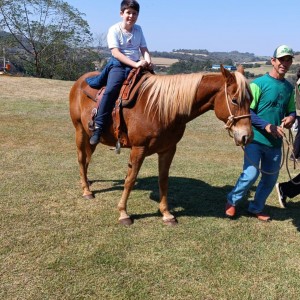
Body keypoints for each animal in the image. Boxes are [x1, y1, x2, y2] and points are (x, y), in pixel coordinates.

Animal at [69, 65, 252, 225]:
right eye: (234, 100)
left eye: (250, 100)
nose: (247, 136)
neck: (161, 108)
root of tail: (80, 81)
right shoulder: (138, 148)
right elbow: (130, 179)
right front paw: (123, 213)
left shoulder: (168, 149)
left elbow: (163, 180)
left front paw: (166, 214)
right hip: (80, 130)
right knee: (81, 158)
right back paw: (86, 191)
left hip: (92, 137)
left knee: (87, 160)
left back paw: (86, 183)